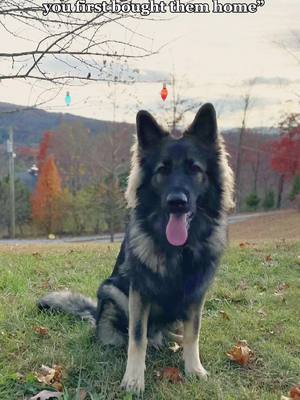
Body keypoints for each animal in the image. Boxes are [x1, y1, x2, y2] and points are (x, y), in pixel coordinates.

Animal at [37, 103, 234, 394]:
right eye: (163, 170)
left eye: (194, 168)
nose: (177, 202)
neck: (177, 250)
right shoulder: (140, 292)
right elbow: (137, 338)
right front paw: (133, 379)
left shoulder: (196, 295)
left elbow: (193, 334)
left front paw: (193, 368)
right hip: (112, 290)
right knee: (132, 334)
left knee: (172, 333)